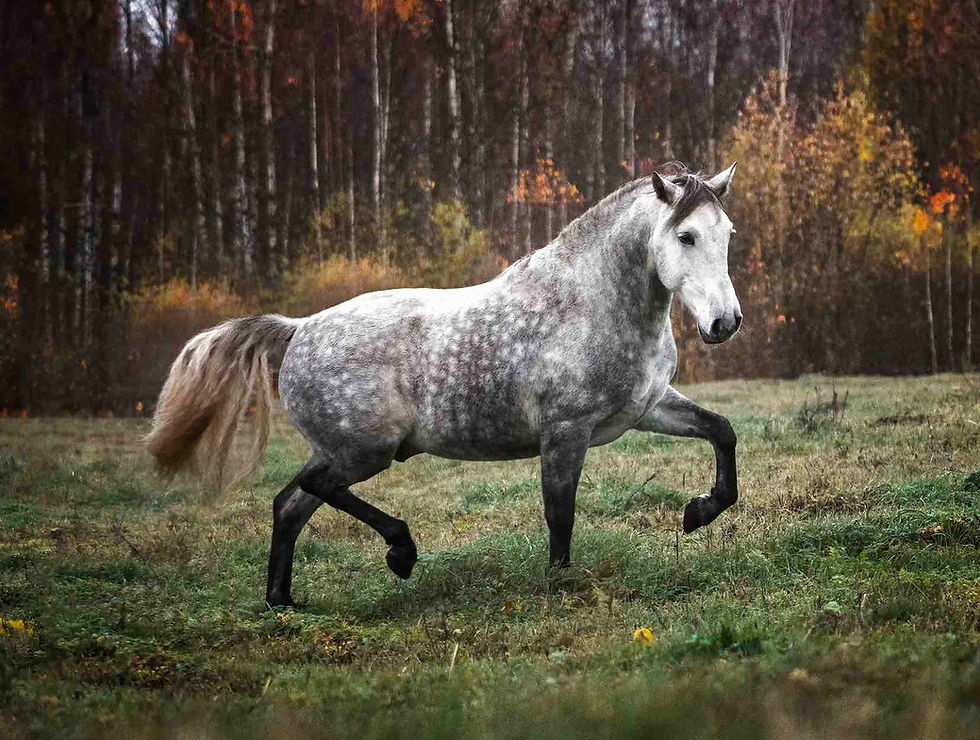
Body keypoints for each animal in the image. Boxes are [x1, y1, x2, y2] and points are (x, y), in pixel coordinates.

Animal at [146, 163, 743, 607]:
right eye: (685, 236)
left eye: (727, 235)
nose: (725, 323)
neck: (593, 303)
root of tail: (299, 329)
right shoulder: (565, 431)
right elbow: (560, 512)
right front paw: (560, 584)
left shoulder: (648, 408)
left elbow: (722, 432)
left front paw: (699, 511)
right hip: (364, 450)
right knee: (309, 488)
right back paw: (400, 551)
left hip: (342, 449)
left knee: (289, 505)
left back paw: (283, 602)